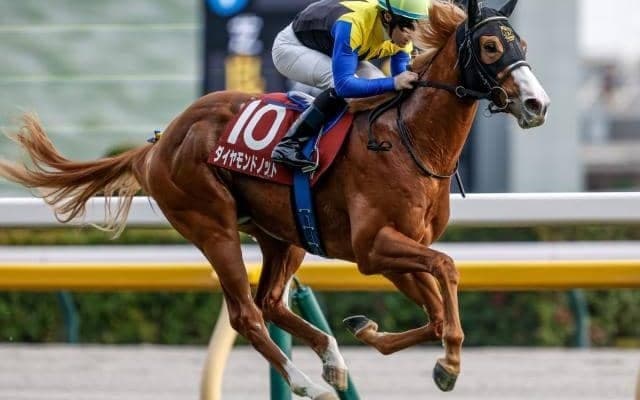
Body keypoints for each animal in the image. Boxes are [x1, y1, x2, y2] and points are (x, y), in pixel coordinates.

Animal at [0, 0, 549, 398]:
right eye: (491, 45)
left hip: (283, 235)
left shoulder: (395, 252)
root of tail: (161, 140)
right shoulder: (374, 247)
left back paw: (333, 362)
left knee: (269, 300)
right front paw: (450, 362)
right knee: (246, 312)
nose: (536, 104)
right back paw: (305, 381)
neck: (408, 138)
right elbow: (448, 270)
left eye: (523, 43)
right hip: (212, 225)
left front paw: (370, 332)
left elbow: (434, 309)